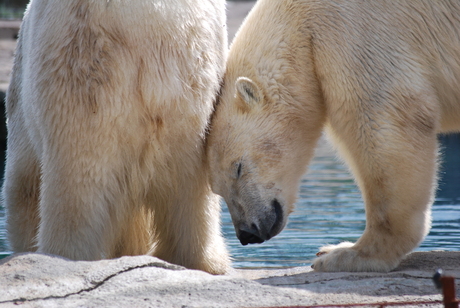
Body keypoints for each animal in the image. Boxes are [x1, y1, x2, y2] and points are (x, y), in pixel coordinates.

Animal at [208, 0, 460, 270]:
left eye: (238, 168)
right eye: (217, 188)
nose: (247, 233)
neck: (302, 23)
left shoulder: (357, 35)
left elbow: (384, 124)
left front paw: (347, 254)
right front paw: (334, 248)